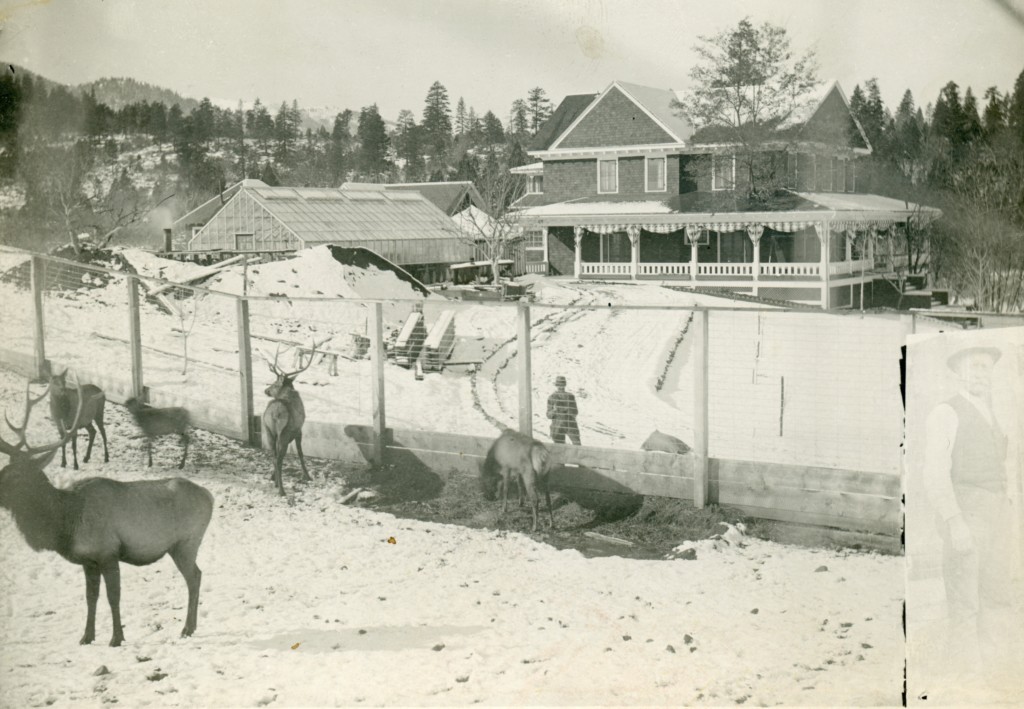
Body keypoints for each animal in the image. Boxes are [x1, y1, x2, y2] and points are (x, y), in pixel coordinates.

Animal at [0, 379, 216, 643]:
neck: (66, 523)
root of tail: (210, 497)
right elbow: (91, 597)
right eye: (4, 469)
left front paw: (116, 638)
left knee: (195, 577)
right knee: (197, 575)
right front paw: (86, 636)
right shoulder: (88, 561)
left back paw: (187, 628)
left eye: (15, 476)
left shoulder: (108, 552)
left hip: (186, 543)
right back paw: (190, 627)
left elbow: (114, 596)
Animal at [260, 340, 323, 495]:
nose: (266, 390)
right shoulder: (298, 430)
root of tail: (274, 412)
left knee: (274, 455)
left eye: (274, 384)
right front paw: (307, 476)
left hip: (268, 429)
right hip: (284, 431)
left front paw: (273, 477)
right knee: (279, 458)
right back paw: (282, 490)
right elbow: (300, 453)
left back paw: (277, 483)